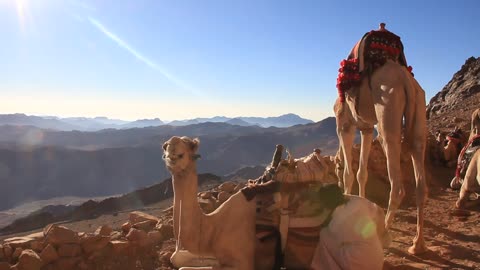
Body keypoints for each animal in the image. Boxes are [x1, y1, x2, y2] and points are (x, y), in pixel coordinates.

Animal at [334, 22, 428, 253]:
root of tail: (405, 80)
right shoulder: (367, 128)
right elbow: (362, 173)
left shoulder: (344, 125)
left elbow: (349, 173)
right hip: (419, 112)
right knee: (420, 181)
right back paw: (417, 244)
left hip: (388, 111)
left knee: (398, 187)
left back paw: (384, 233)